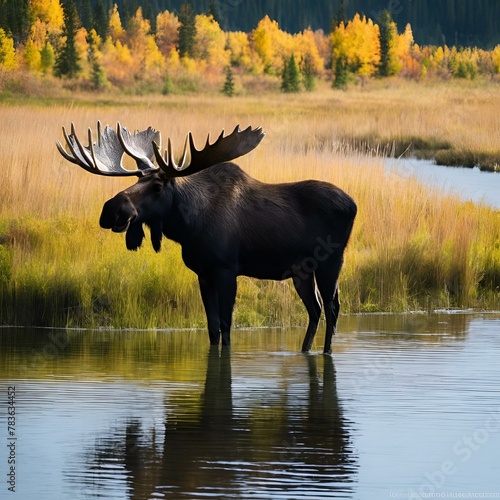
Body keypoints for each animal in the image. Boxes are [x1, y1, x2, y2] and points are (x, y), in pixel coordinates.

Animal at [56, 122, 358, 354]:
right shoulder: (203, 273)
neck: (188, 228)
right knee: (315, 309)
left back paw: (326, 352)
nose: (111, 210)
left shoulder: (226, 270)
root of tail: (353, 205)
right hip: (301, 272)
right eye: (135, 180)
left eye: (157, 185)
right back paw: (305, 350)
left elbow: (226, 325)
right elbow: (212, 327)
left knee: (332, 308)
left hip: (331, 261)